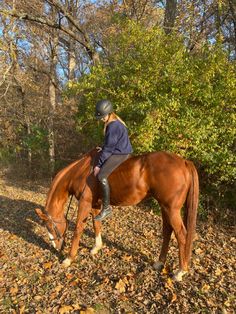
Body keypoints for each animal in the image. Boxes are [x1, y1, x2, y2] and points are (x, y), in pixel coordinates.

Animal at [35, 148, 198, 280]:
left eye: (50, 227)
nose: (56, 247)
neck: (82, 171)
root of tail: (184, 162)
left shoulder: (85, 204)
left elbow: (78, 230)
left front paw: (69, 258)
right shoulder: (95, 205)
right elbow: (96, 224)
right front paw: (97, 247)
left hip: (171, 210)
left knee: (181, 235)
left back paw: (181, 271)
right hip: (165, 208)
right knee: (167, 232)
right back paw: (159, 263)